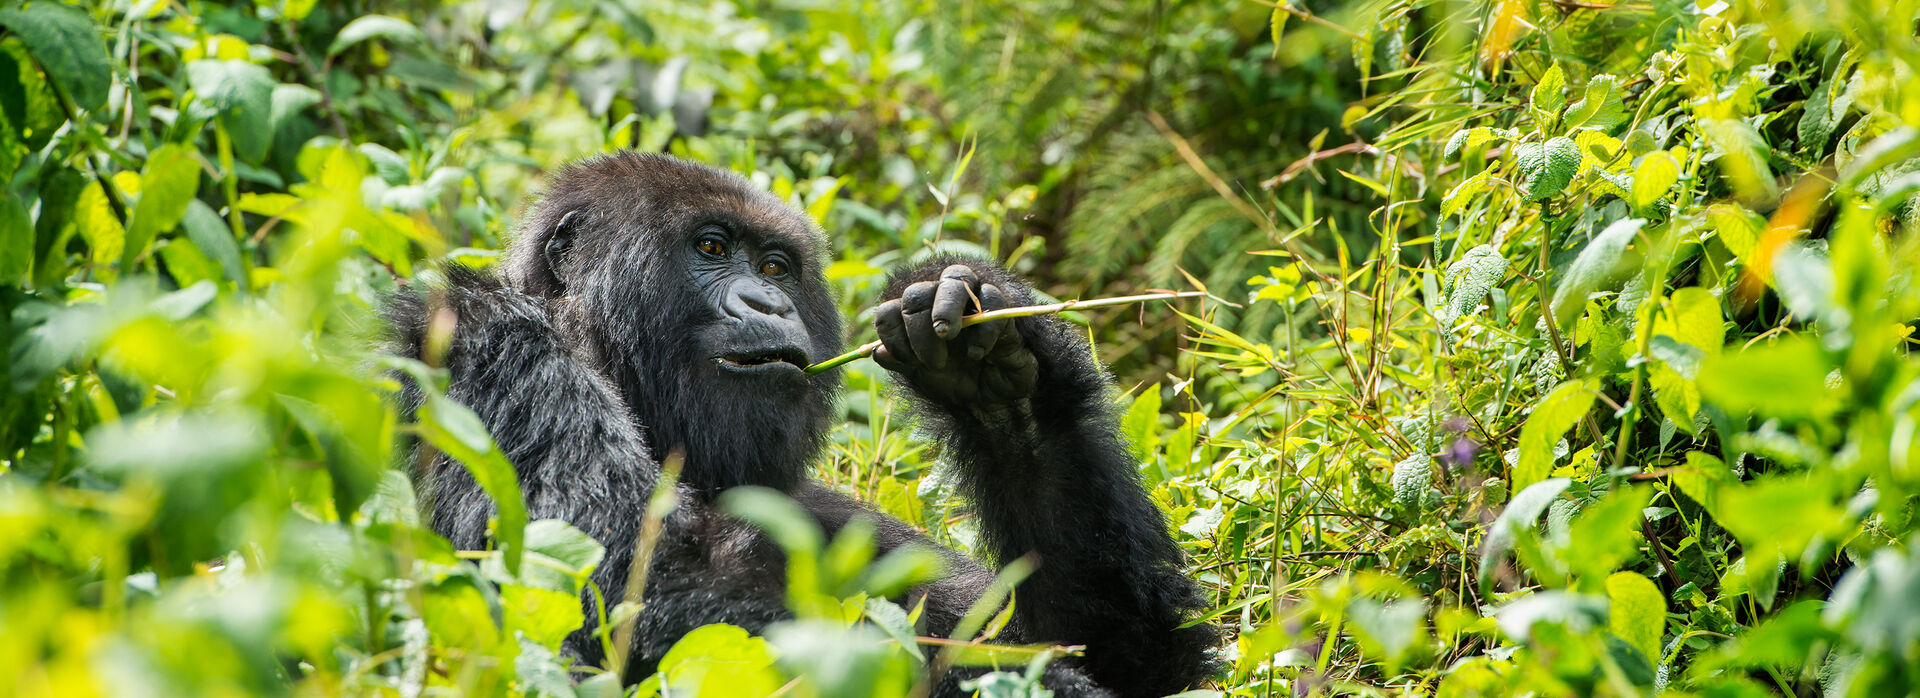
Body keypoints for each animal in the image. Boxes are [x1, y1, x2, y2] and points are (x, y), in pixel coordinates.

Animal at [382, 151, 1205, 694]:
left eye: (777, 267)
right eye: (712, 248)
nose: (769, 304)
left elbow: (1112, 649)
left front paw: (993, 371)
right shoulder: (492, 351)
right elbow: (622, 589)